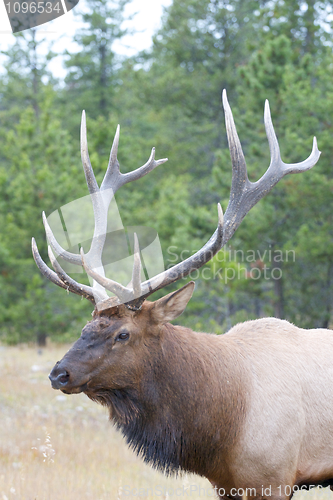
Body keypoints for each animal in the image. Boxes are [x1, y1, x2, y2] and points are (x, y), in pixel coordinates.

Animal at [31, 92, 330, 498]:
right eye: (85, 328)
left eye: (123, 334)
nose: (59, 373)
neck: (222, 427)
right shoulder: (224, 484)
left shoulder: (275, 477)